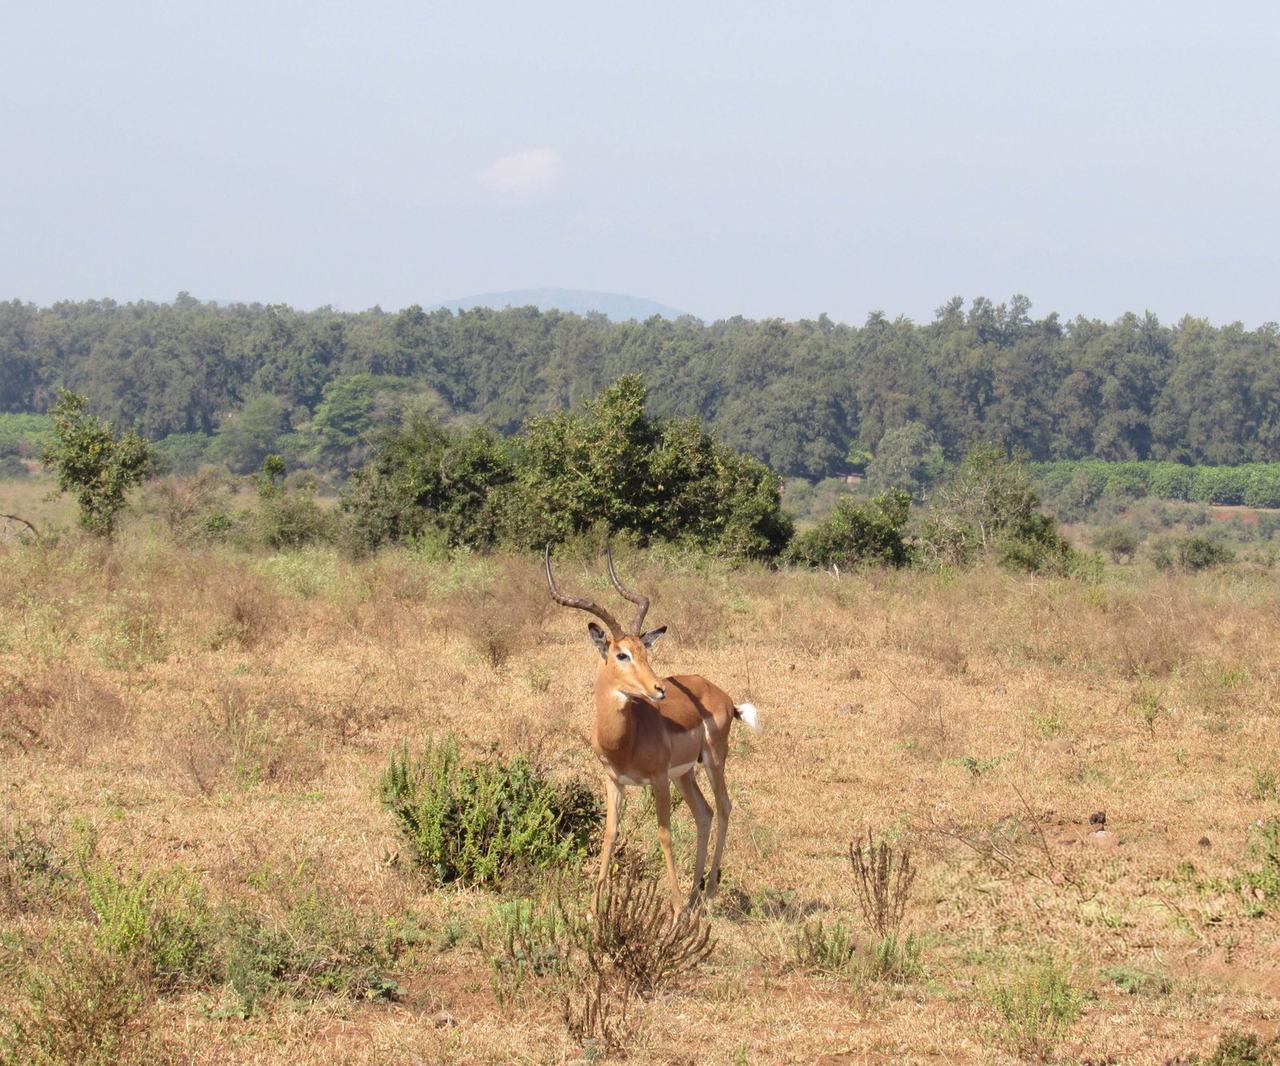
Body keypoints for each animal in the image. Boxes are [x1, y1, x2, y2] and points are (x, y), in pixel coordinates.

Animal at [545, 545, 760, 916]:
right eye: (622, 654)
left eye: (645, 650)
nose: (659, 689)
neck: (624, 740)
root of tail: (721, 694)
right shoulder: (613, 780)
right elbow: (610, 832)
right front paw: (592, 909)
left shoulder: (658, 780)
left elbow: (664, 834)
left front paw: (674, 911)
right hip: (685, 774)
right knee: (704, 813)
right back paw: (693, 896)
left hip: (713, 761)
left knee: (724, 807)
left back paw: (707, 895)